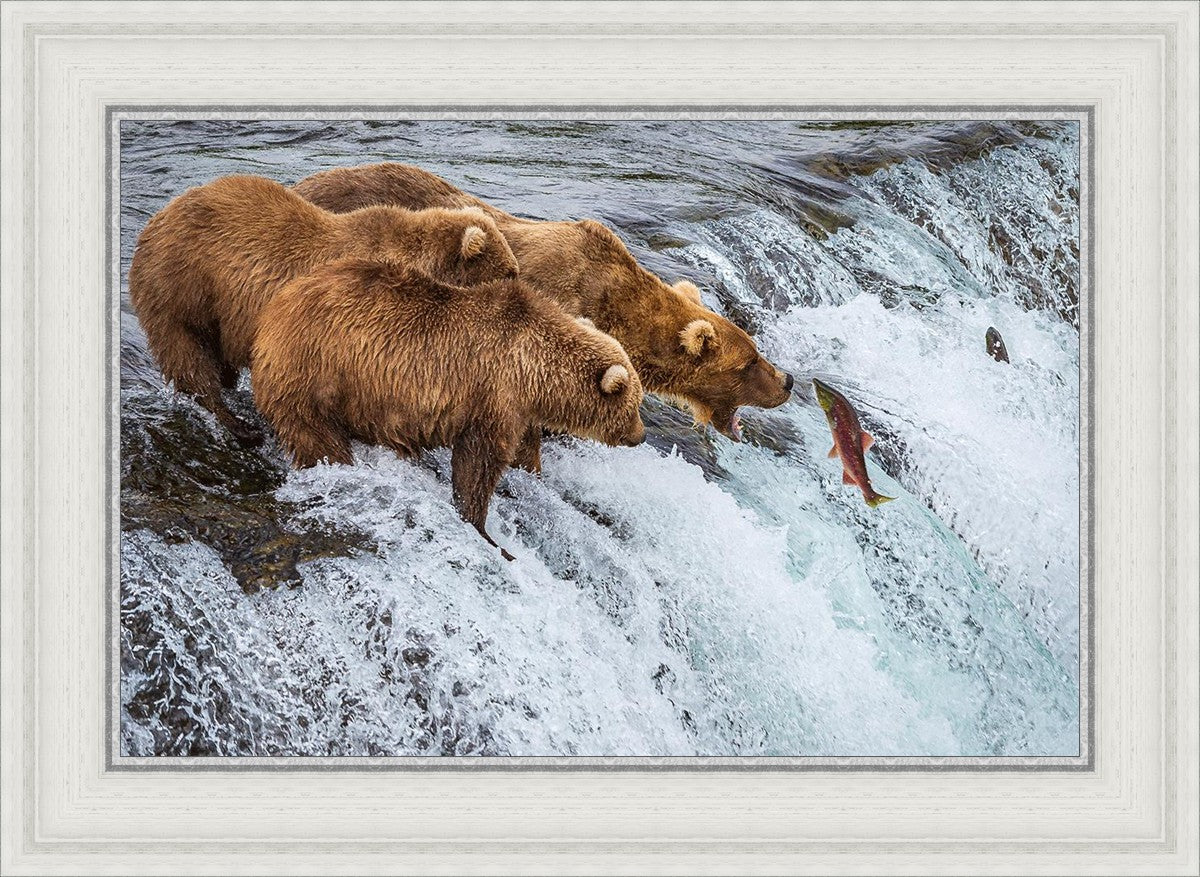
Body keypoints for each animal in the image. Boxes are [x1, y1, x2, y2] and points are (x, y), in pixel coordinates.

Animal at [129, 174, 519, 446]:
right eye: (509, 272)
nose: (521, 288)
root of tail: (156, 219)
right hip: (182, 287)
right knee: (188, 357)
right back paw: (238, 425)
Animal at [251, 258, 646, 559]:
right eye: (634, 405)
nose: (640, 436)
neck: (534, 370)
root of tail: (273, 311)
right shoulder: (493, 394)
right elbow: (478, 464)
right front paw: (485, 531)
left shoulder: (518, 409)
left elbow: (522, 451)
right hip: (315, 373)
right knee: (316, 436)